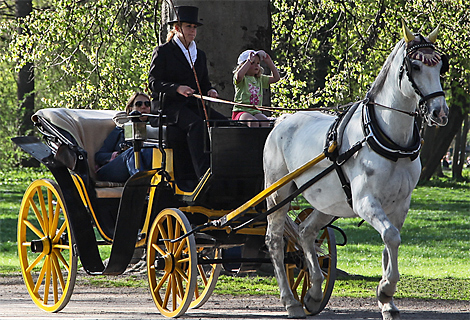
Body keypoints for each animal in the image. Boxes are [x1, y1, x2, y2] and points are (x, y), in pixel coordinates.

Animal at [262, 22, 450, 320]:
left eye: (441, 66)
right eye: (415, 66)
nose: (439, 112)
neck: (389, 141)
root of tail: (282, 119)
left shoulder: (400, 204)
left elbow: (389, 245)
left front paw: (388, 302)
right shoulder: (365, 202)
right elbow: (391, 237)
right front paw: (385, 289)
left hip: (329, 203)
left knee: (306, 232)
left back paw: (314, 292)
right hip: (278, 195)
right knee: (276, 241)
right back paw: (291, 301)